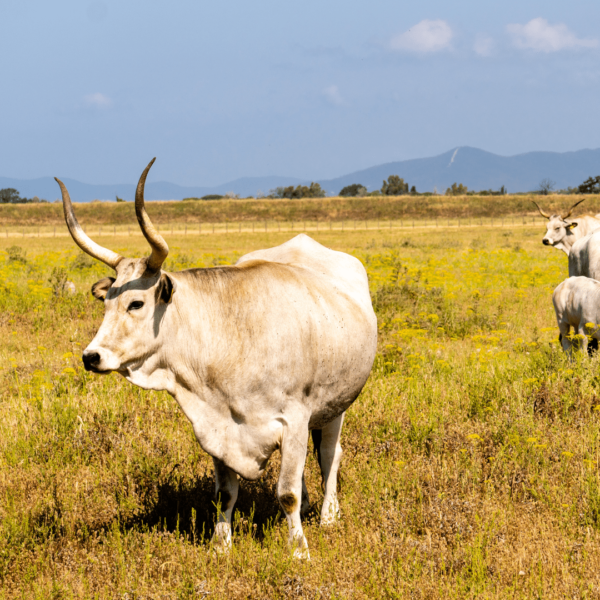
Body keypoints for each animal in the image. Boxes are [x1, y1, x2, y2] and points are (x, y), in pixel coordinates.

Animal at [55, 159, 376, 556]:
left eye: (136, 303)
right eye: (106, 303)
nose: (91, 356)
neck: (233, 340)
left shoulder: (294, 418)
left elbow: (287, 493)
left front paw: (298, 549)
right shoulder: (218, 426)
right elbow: (226, 493)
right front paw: (220, 545)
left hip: (336, 406)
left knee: (330, 455)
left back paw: (329, 515)